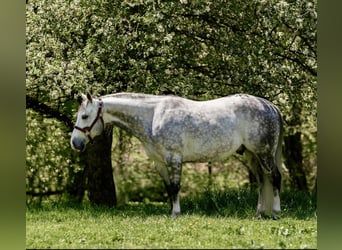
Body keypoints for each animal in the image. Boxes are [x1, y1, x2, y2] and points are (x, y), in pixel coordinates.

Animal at [70, 92, 284, 219]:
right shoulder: (159, 162)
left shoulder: (173, 158)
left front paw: (176, 213)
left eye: (85, 116)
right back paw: (259, 213)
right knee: (261, 181)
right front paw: (170, 212)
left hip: (264, 153)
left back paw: (275, 212)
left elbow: (175, 186)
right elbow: (168, 188)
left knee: (274, 178)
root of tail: (270, 106)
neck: (154, 116)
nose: (75, 143)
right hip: (252, 155)